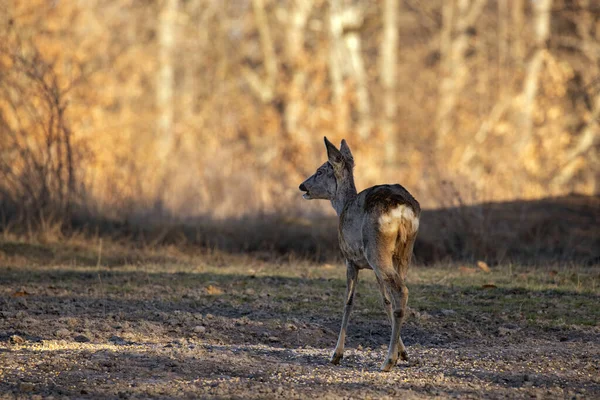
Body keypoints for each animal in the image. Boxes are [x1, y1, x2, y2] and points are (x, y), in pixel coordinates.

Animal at [298, 138, 420, 372]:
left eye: (320, 170)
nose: (302, 186)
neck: (343, 206)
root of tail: (402, 210)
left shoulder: (349, 259)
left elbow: (349, 301)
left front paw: (336, 354)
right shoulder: (372, 268)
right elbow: (385, 301)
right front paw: (404, 352)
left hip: (377, 249)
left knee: (401, 291)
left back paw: (387, 361)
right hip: (404, 252)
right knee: (399, 294)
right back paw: (396, 356)